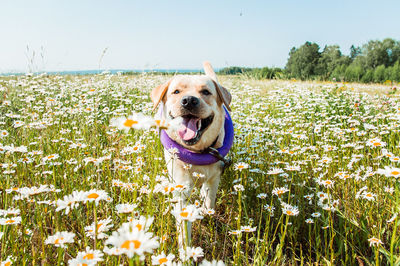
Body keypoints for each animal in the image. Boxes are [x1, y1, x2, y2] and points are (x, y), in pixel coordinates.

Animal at [150, 61, 231, 245]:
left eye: (206, 92)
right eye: (176, 91)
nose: (189, 101)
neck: (198, 150)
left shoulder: (214, 178)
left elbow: (209, 201)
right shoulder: (181, 188)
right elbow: (183, 227)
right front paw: (185, 249)